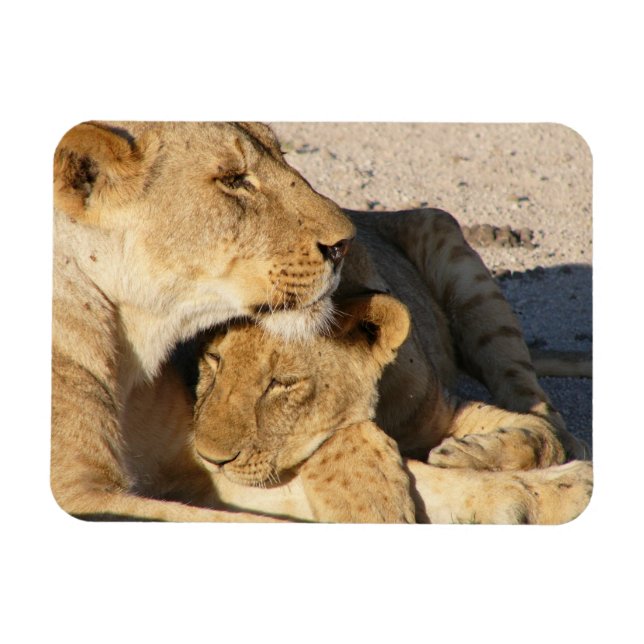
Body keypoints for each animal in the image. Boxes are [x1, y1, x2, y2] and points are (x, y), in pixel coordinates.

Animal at [189, 293, 592, 523]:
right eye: (213, 358)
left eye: (283, 383)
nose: (209, 459)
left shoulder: (445, 409)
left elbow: (544, 434)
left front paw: (465, 453)